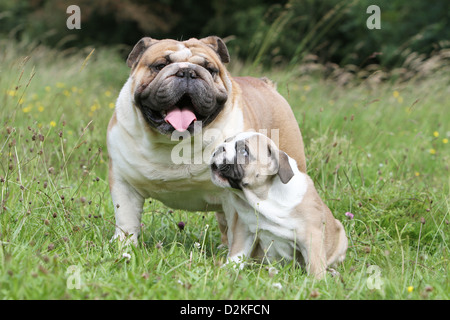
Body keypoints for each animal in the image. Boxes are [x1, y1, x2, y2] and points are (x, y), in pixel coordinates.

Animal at [107, 35, 308, 245]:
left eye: (210, 70)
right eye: (160, 65)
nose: (187, 72)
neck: (175, 143)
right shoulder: (123, 183)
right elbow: (126, 219)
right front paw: (124, 245)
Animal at [211, 132, 348, 278]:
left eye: (244, 151)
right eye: (226, 141)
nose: (219, 148)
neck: (265, 198)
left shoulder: (312, 236)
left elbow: (315, 264)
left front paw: (318, 281)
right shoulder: (245, 231)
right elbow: (236, 254)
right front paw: (226, 271)